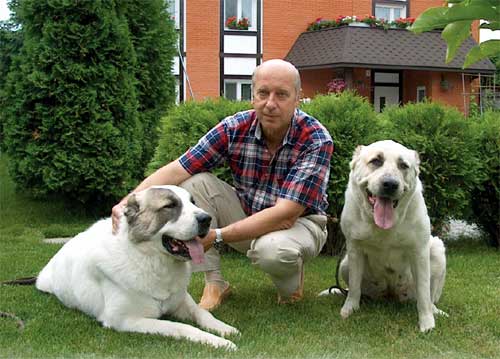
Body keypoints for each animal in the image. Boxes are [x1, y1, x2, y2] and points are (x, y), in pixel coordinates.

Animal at [36, 187, 239, 350]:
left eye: (193, 202)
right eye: (169, 206)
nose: (206, 218)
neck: (152, 260)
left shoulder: (182, 300)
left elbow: (202, 312)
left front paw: (224, 329)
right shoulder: (124, 320)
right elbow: (179, 326)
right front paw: (217, 342)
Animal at [322, 142, 448, 334]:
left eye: (403, 165)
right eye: (376, 161)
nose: (390, 184)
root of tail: (391, 293)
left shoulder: (419, 251)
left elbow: (424, 291)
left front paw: (426, 322)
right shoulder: (354, 249)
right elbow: (354, 288)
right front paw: (349, 309)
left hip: (436, 249)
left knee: (429, 295)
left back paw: (434, 310)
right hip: (345, 264)